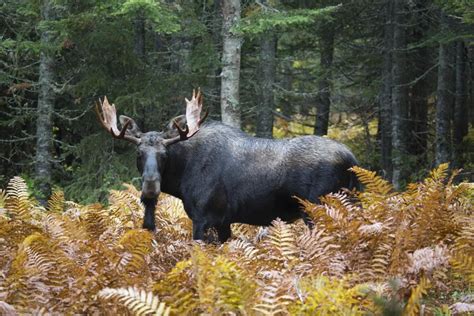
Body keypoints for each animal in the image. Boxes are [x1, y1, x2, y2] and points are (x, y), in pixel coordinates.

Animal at [96, 90, 358, 243]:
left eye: (164, 155)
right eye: (139, 153)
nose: (150, 187)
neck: (180, 181)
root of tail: (352, 160)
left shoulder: (202, 218)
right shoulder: (224, 222)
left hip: (318, 208)